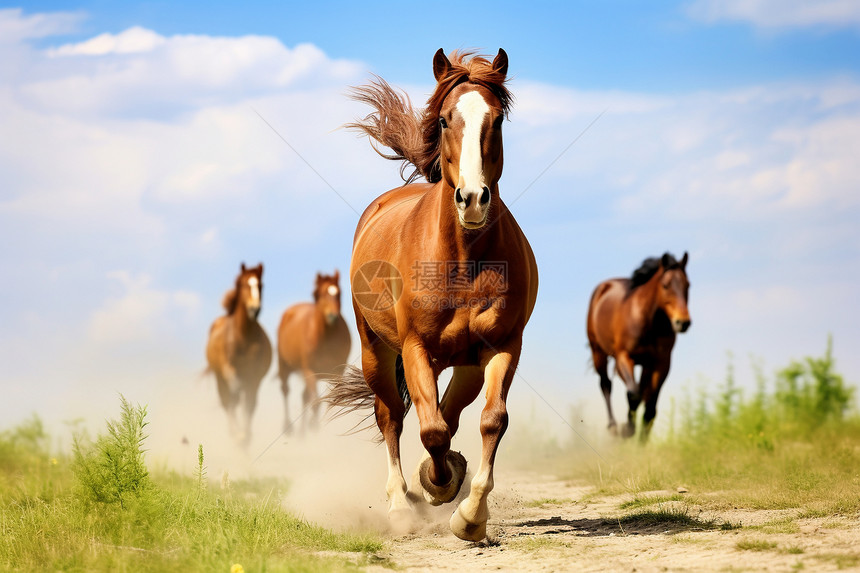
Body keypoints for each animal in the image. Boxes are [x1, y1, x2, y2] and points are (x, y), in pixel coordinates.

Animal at [205, 262, 272, 446]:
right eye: (244, 285)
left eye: (261, 285)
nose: (254, 309)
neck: (243, 337)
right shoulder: (229, 369)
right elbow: (234, 398)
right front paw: (239, 435)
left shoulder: (254, 377)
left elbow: (249, 404)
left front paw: (245, 435)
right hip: (219, 378)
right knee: (228, 401)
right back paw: (235, 434)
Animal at [278, 270, 352, 432]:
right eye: (322, 294)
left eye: (339, 293)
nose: (333, 316)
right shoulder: (309, 371)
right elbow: (316, 404)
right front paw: (315, 428)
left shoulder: (338, 372)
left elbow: (333, 400)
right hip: (285, 366)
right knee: (286, 390)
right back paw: (289, 427)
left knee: (304, 397)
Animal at [328, 50, 536, 540]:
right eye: (444, 119)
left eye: (497, 119)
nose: (473, 198)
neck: (462, 261)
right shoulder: (415, 348)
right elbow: (431, 431)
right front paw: (435, 485)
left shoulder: (502, 347)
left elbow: (489, 420)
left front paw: (470, 515)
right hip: (377, 352)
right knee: (393, 417)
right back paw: (401, 505)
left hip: (465, 363)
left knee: (449, 413)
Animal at [584, 251, 692, 442]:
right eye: (665, 285)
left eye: (688, 285)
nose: (683, 322)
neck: (648, 321)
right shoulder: (624, 357)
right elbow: (634, 394)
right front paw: (628, 429)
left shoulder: (661, 363)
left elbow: (649, 407)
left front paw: (642, 439)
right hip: (598, 352)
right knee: (606, 384)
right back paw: (613, 427)